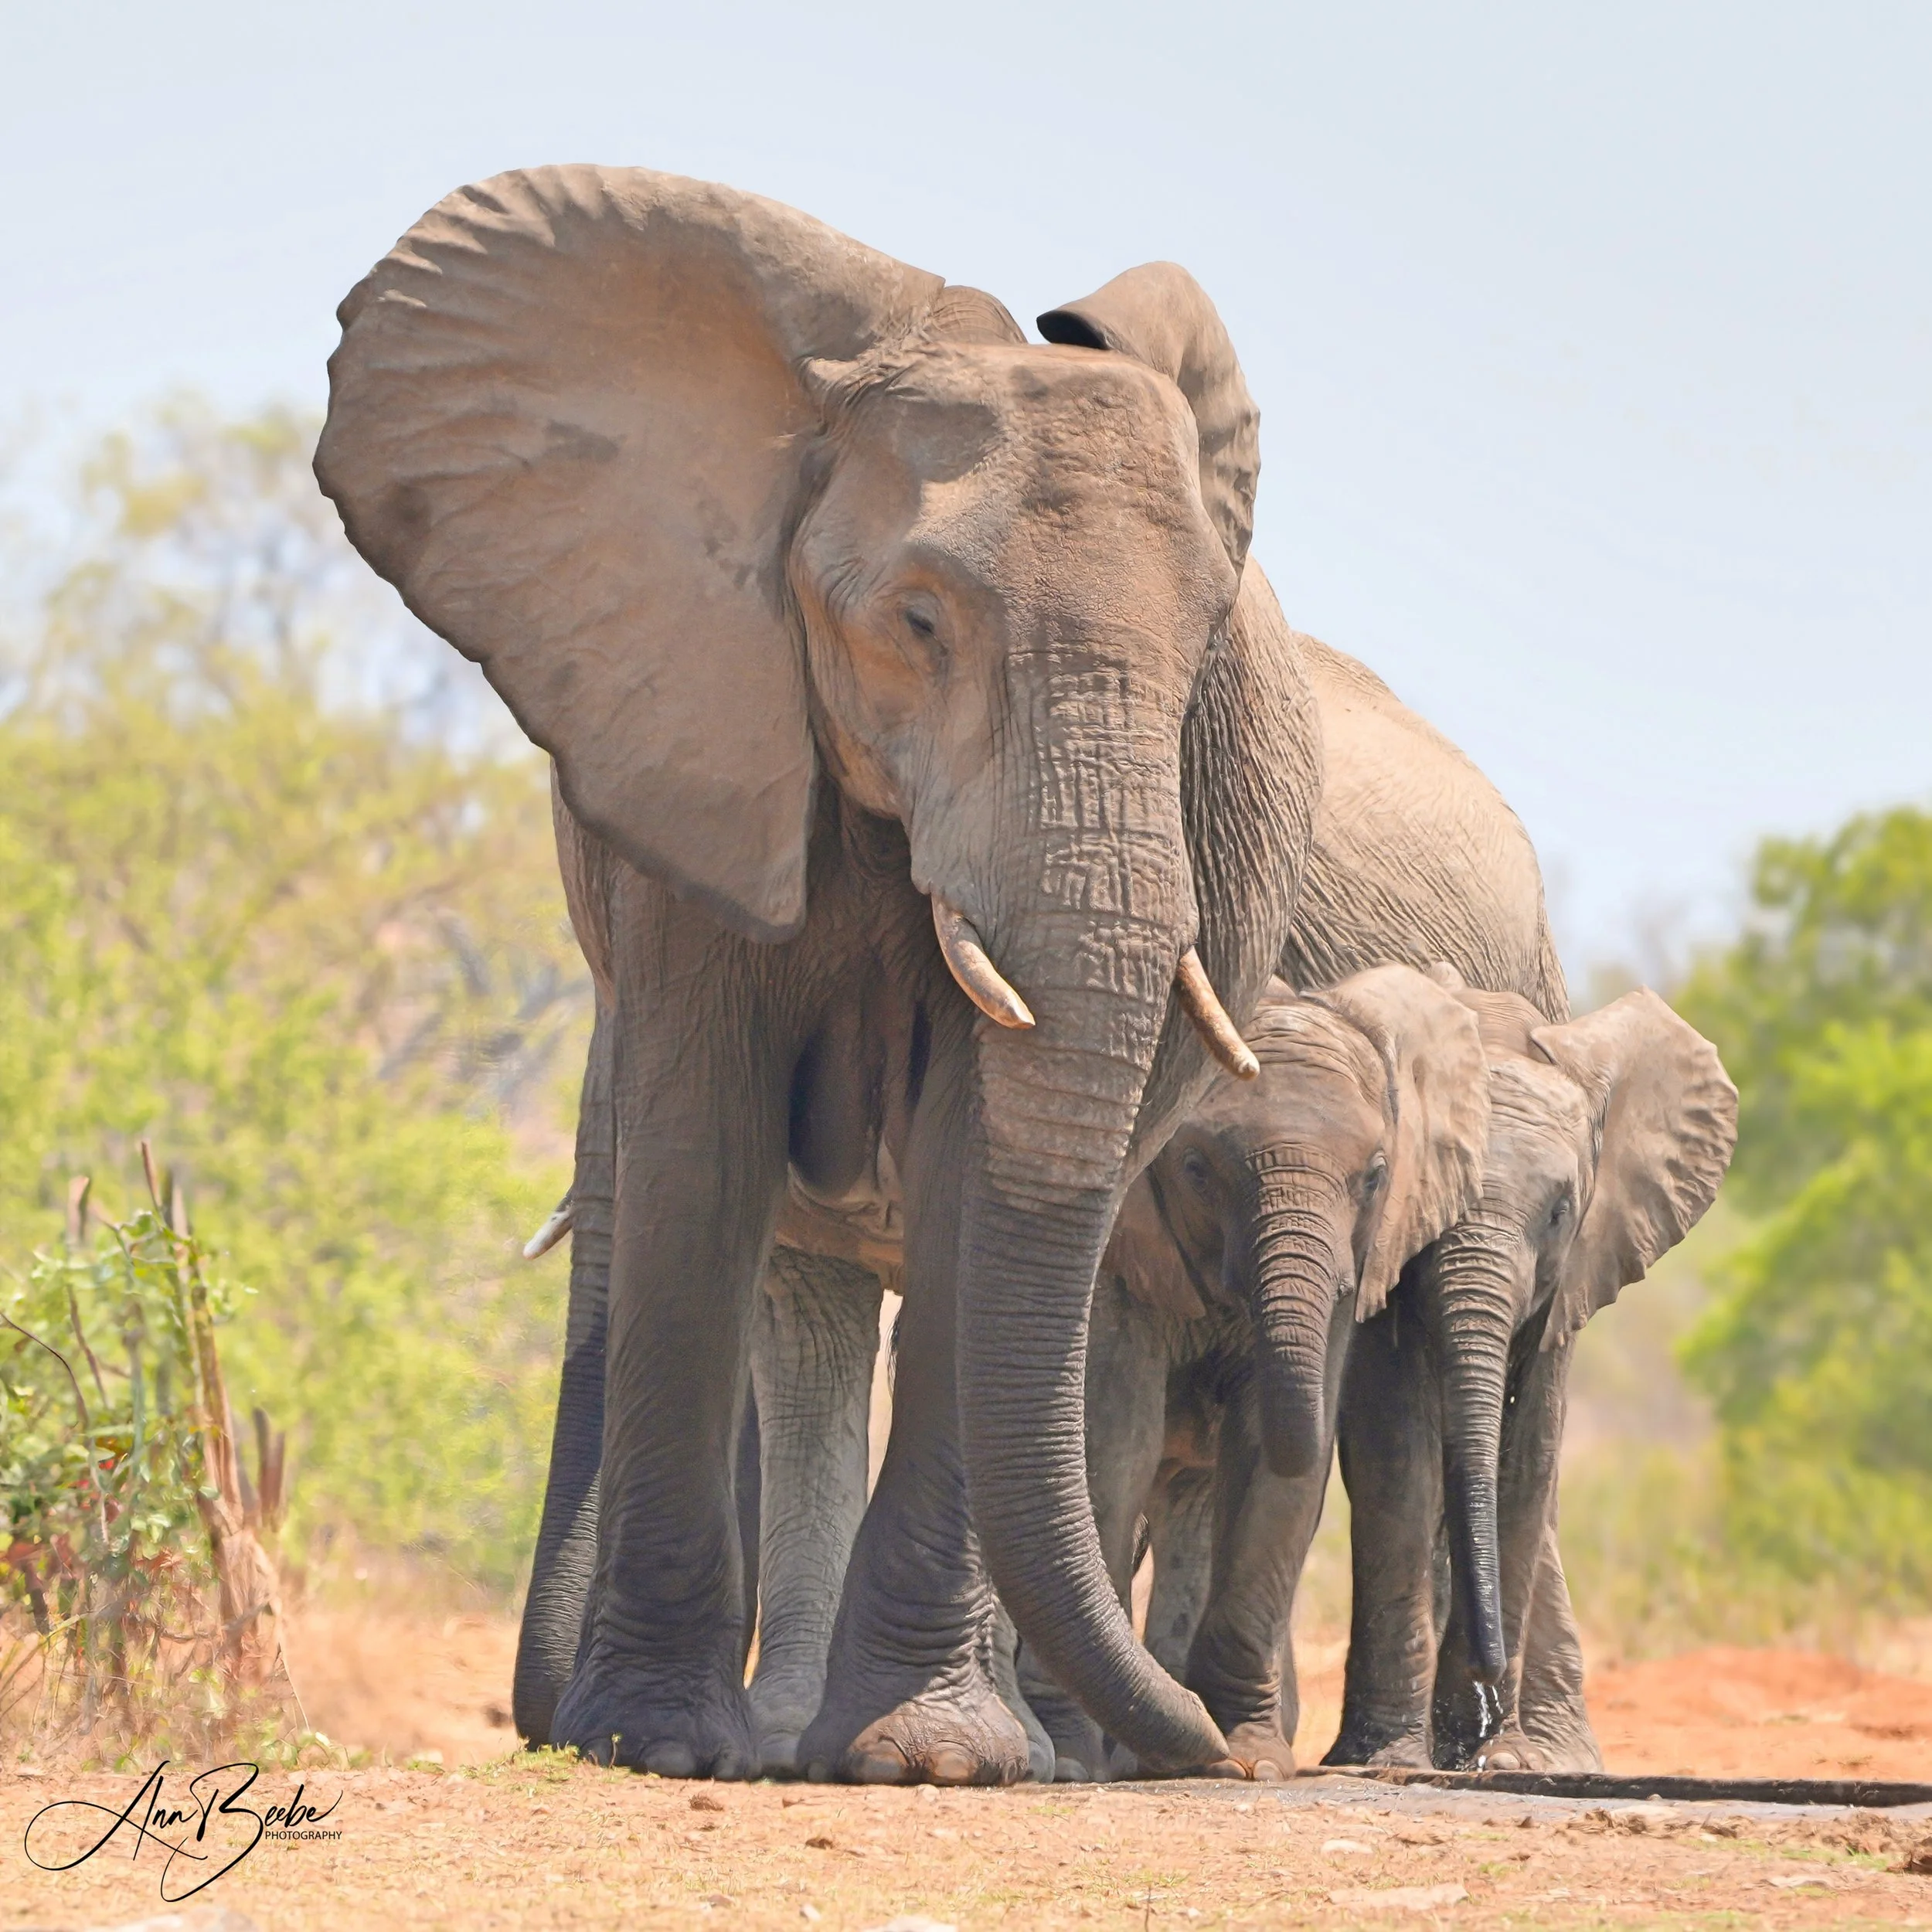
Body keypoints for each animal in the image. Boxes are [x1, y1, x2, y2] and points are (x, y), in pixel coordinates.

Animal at [316, 165, 1321, 1782]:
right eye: (918, 623)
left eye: (1201, 664)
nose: (1219, 1759)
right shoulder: (696, 724)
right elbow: (702, 1152)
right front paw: (655, 1746)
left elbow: (984, 1162)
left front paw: (931, 1764)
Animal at [1327, 974, 1737, 1772]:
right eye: (1438, 1194)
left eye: (1559, 1212)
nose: (1483, 1677)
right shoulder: (1390, 1241)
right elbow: (1396, 1452)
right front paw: (1390, 1758)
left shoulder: (1576, 1273)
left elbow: (1528, 1457)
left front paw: (1502, 1757)